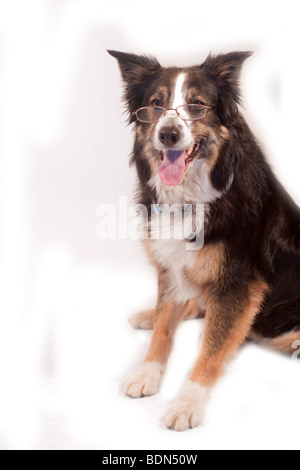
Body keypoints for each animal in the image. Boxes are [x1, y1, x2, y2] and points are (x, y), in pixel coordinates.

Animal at [106, 49, 298, 432]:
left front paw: (187, 403)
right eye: (155, 104)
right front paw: (147, 373)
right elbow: (164, 327)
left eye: (197, 105)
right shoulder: (169, 265)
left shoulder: (239, 284)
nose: (168, 135)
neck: (192, 195)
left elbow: (211, 350)